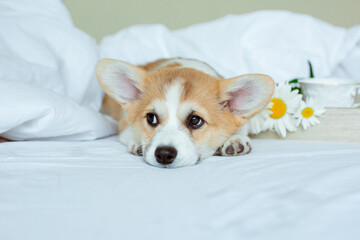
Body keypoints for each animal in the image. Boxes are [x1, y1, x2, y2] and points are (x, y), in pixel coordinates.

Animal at [95, 57, 272, 169]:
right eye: (151, 118)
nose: (164, 155)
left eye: (195, 120)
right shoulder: (124, 125)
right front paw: (139, 145)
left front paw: (235, 140)